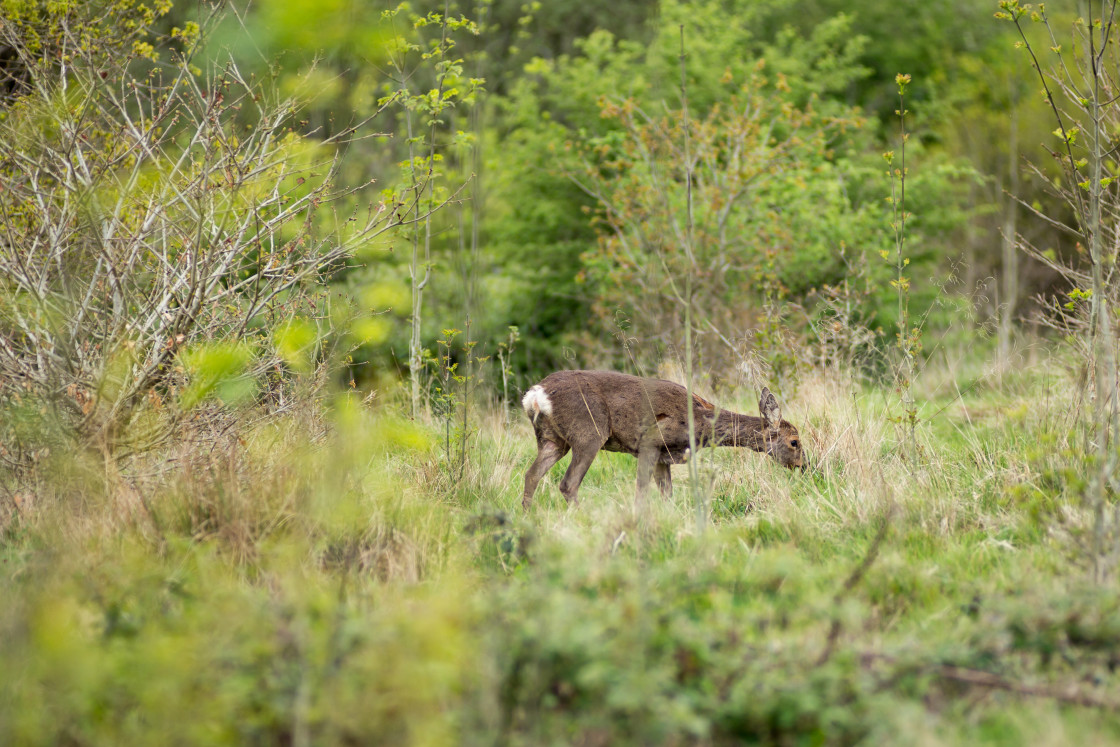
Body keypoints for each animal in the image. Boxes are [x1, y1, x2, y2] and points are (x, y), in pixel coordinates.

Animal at [519, 367, 801, 508]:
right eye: (794, 442)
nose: (804, 466)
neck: (701, 423)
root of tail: (535, 395)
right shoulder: (650, 442)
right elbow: (641, 492)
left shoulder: (663, 457)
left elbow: (667, 495)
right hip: (589, 432)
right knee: (568, 483)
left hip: (553, 440)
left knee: (531, 474)